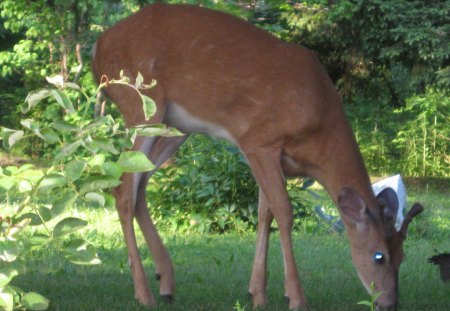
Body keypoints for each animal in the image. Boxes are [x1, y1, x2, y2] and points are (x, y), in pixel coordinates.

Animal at [92, 3, 426, 311]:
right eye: (379, 256)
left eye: (403, 256)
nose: (389, 303)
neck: (318, 133)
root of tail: (99, 47)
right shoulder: (259, 141)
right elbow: (284, 212)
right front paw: (296, 297)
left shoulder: (273, 158)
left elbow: (265, 213)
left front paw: (257, 293)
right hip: (140, 104)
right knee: (123, 189)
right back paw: (144, 293)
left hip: (176, 127)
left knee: (139, 185)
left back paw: (166, 282)